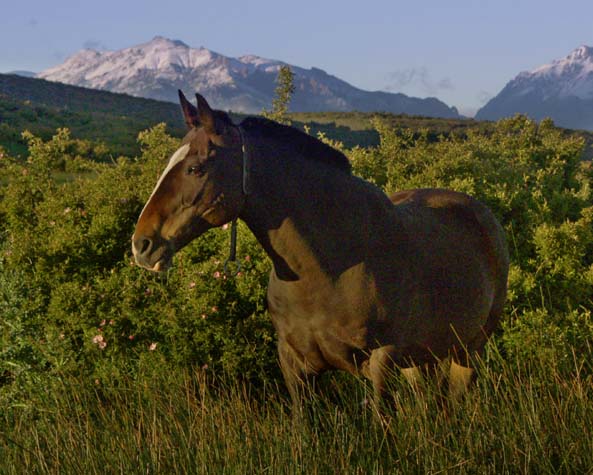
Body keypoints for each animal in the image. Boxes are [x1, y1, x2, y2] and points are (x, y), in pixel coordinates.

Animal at [133, 91, 508, 410]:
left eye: (195, 168)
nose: (142, 245)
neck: (327, 267)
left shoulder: (382, 362)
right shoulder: (295, 367)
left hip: (468, 349)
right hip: (421, 358)